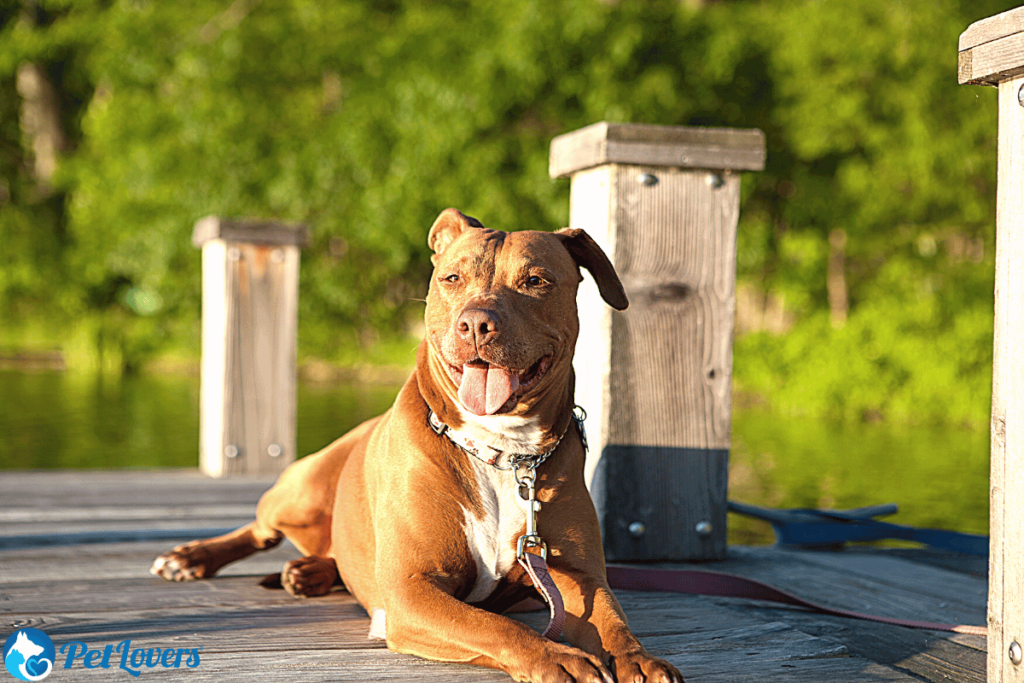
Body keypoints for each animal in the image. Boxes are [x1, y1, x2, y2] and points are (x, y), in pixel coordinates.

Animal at [149, 209, 679, 683]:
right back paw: (191, 558)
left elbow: (613, 621)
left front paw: (639, 659)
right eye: (452, 278)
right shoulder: (411, 592)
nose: (475, 324)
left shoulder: (579, 575)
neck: (502, 451)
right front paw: (558, 658)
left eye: (535, 280)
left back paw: (310, 571)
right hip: (302, 491)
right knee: (259, 529)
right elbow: (495, 626)